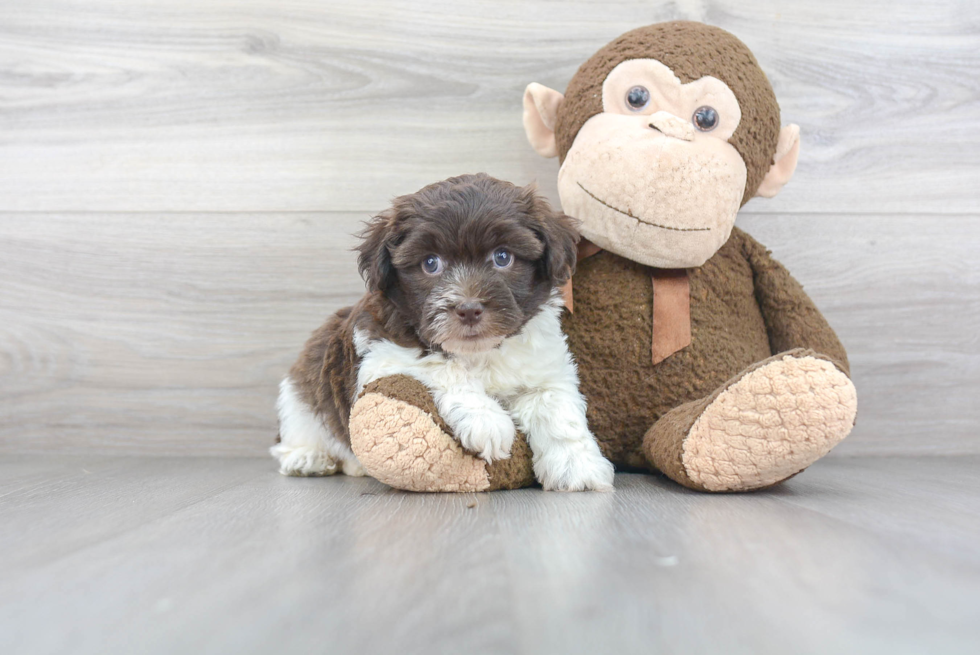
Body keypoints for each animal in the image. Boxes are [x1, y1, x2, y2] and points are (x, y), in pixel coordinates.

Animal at [270, 174, 612, 492]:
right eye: (431, 263)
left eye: (503, 257)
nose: (469, 309)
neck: (480, 351)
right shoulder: (382, 351)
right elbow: (442, 365)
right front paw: (487, 419)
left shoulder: (546, 368)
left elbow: (557, 409)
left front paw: (576, 465)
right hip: (300, 393)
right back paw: (307, 457)